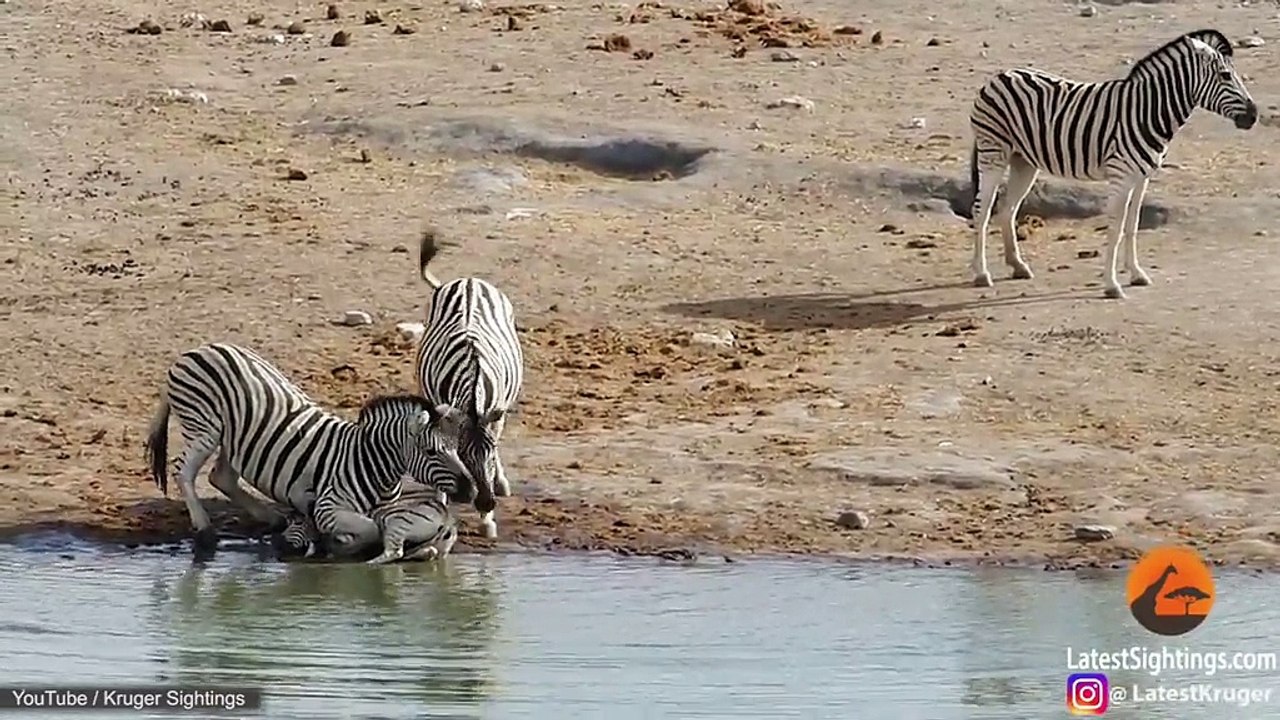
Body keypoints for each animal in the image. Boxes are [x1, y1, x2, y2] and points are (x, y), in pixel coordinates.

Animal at [144, 342, 471, 554]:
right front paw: (336, 542)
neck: (369, 461)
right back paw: (204, 530)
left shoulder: (388, 509)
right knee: (183, 472)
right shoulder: (329, 505)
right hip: (205, 425)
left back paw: (271, 518)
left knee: (221, 476)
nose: (471, 491)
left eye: (456, 447)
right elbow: (370, 529)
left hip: (233, 434)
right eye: (431, 452)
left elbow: (378, 526)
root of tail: (195, 350)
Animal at [280, 481, 459, 564]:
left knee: (394, 553)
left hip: (395, 524)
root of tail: (446, 516)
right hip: (439, 547)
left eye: (297, 523)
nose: (282, 539)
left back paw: (368, 563)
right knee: (427, 552)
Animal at [413, 229, 524, 539]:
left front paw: (487, 520)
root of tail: (467, 281)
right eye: (463, 454)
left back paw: (501, 483)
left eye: (491, 452)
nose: (486, 503)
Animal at [964, 29, 1257, 300]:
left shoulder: (1142, 176)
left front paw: (1136, 273)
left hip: (1024, 161)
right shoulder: (1121, 175)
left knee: (1008, 208)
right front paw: (1112, 284)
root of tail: (998, 77)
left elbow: (1132, 224)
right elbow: (1115, 228)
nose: (1253, 116)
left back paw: (1018, 266)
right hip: (993, 152)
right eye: (1225, 76)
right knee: (982, 209)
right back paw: (981, 274)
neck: (1148, 111)